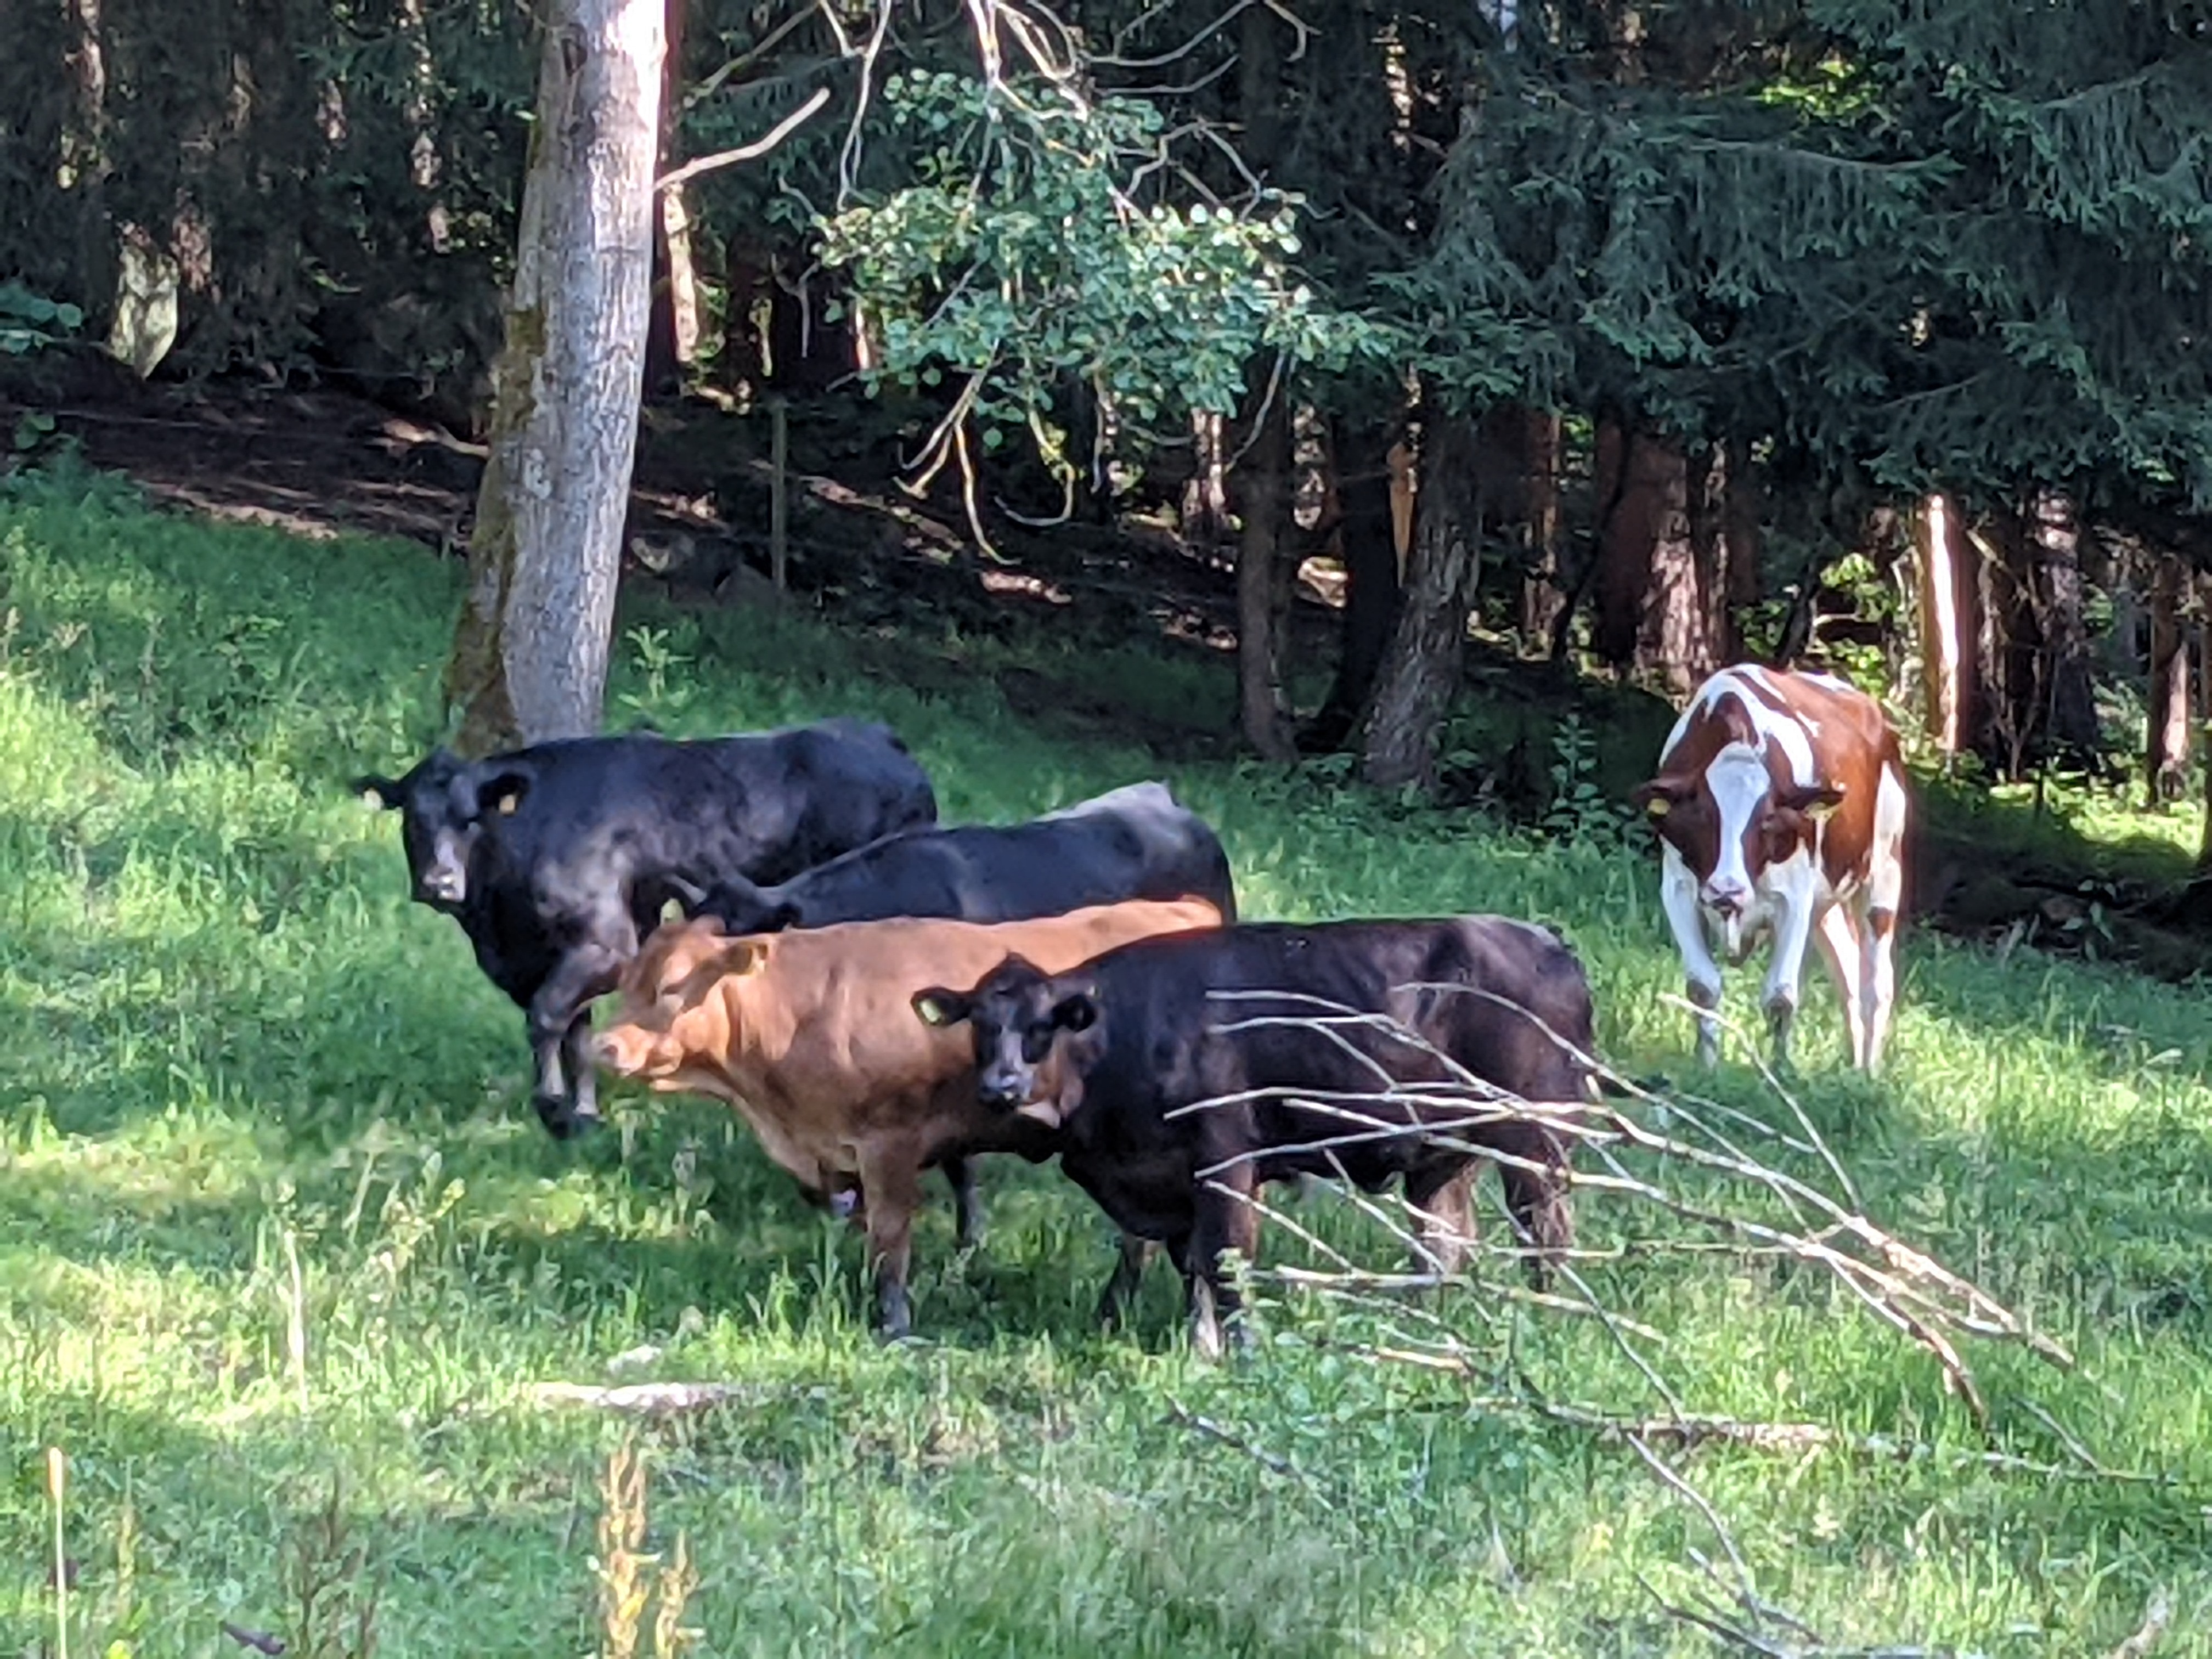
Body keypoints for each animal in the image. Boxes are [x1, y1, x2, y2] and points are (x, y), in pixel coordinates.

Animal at [353, 719, 937, 1138]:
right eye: (413, 818)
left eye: (471, 818)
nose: (440, 882)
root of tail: (876, 736)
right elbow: (576, 1032)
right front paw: (584, 1115)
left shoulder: (606, 944)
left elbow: (547, 1018)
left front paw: (554, 1110)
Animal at [593, 898, 1223, 1339]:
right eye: (628, 983)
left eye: (671, 987)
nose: (605, 1046)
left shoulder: (887, 1143)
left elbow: (891, 1237)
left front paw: (893, 1323)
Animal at [912, 917, 1594, 1359]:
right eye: (979, 1024)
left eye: (1041, 1026)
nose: (1000, 1086)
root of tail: (1547, 943)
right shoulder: (1167, 1177)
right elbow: (1188, 1264)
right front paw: (1200, 1346)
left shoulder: (1226, 1161)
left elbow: (1224, 1260)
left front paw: (1239, 1351)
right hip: (1447, 1154)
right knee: (1447, 1244)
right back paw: (1429, 1325)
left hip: (1536, 1138)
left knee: (1545, 1234)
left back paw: (1543, 1317)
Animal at [1629, 664, 1910, 1072]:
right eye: (1701, 817)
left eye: (1768, 821)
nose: (1726, 890)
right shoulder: (1678, 889)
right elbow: (1702, 987)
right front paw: (1708, 1068)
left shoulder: (1793, 897)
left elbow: (1781, 995)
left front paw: (1779, 1072)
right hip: (1824, 904)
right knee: (1848, 972)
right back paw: (1855, 1067)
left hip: (1885, 869)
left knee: (1877, 983)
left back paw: (1870, 1073)